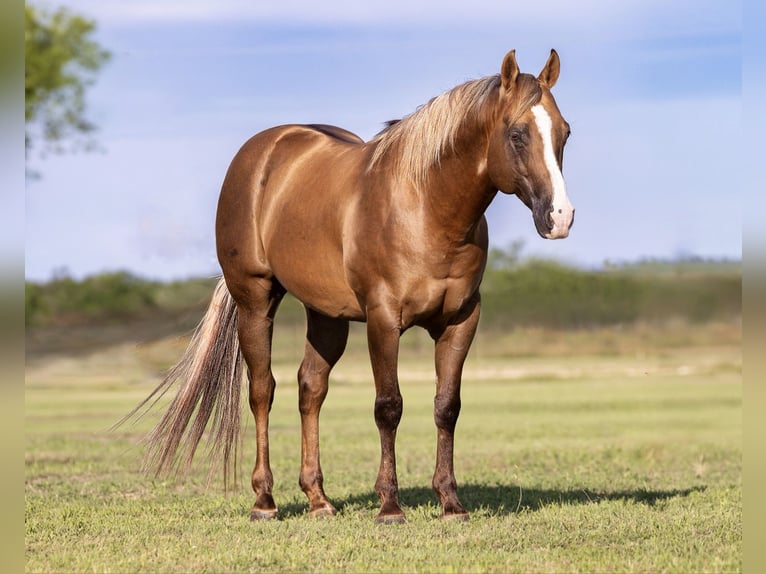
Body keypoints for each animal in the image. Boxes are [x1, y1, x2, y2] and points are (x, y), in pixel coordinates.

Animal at [127, 49, 575, 523]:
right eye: (517, 134)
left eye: (564, 132)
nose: (560, 217)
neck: (425, 207)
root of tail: (263, 150)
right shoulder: (383, 319)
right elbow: (388, 406)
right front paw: (390, 506)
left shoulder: (461, 320)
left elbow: (446, 406)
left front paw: (450, 503)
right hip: (255, 299)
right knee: (263, 390)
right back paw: (264, 501)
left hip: (326, 315)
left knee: (311, 389)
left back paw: (318, 499)